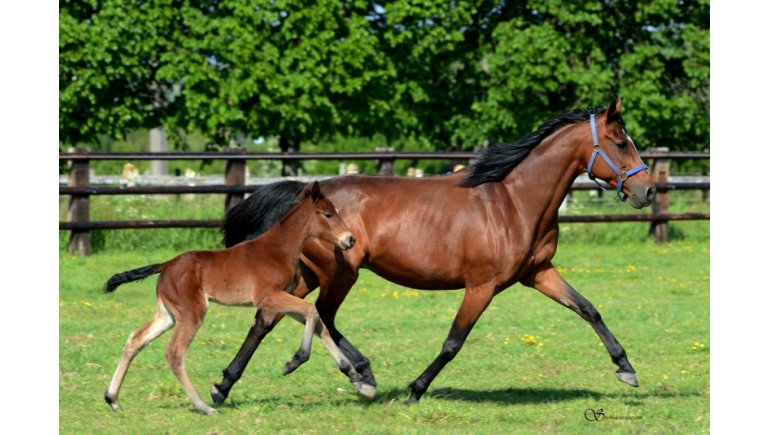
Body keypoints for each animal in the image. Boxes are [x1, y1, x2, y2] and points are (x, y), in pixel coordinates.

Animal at [100, 183, 370, 416]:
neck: (277, 249)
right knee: (174, 354)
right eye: (328, 214)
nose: (350, 239)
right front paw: (295, 361)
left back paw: (112, 399)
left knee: (135, 339)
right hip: (192, 313)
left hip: (167, 315)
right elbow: (312, 312)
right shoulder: (268, 296)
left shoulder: (282, 297)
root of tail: (165, 265)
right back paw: (204, 407)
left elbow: (317, 322)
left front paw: (354, 374)